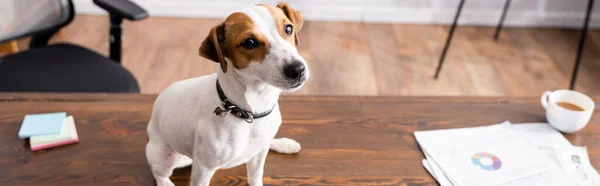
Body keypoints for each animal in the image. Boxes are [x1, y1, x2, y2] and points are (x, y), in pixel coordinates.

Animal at [146, 2, 310, 186]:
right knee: (159, 172)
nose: (297, 69)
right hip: (164, 157)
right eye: (250, 42)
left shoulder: (259, 156)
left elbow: (256, 175)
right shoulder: (203, 169)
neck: (250, 112)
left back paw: (283, 144)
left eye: (288, 28)